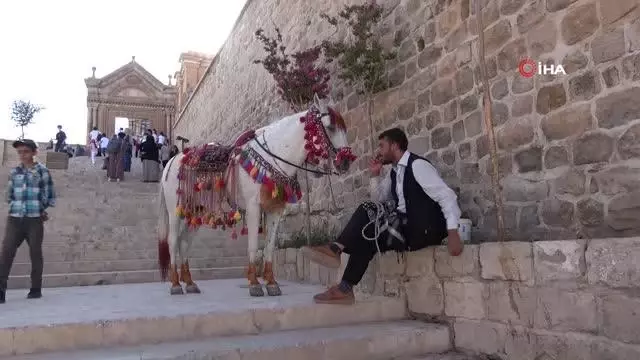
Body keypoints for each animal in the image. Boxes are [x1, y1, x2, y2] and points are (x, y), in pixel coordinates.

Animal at [156, 95, 356, 296]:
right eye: (330, 127)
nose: (346, 162)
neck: (271, 158)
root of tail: (171, 161)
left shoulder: (276, 211)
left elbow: (269, 247)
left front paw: (271, 283)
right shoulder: (253, 208)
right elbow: (252, 245)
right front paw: (254, 283)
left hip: (195, 211)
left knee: (184, 242)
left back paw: (189, 283)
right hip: (175, 211)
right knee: (173, 241)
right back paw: (175, 284)